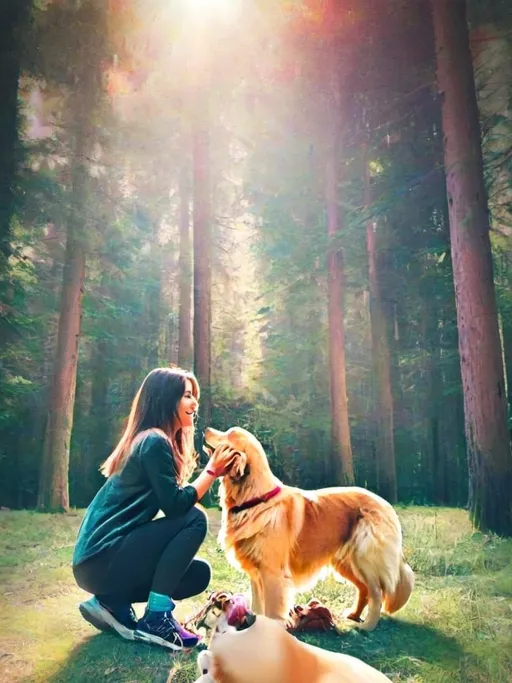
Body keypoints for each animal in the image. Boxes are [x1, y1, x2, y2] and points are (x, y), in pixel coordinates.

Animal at [202, 424, 414, 632]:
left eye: (229, 433)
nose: (205, 429)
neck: (255, 498)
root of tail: (385, 504)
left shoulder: (272, 573)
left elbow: (271, 610)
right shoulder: (256, 573)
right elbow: (257, 606)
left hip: (365, 558)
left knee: (376, 592)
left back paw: (368, 625)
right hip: (346, 562)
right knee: (364, 589)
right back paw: (354, 615)